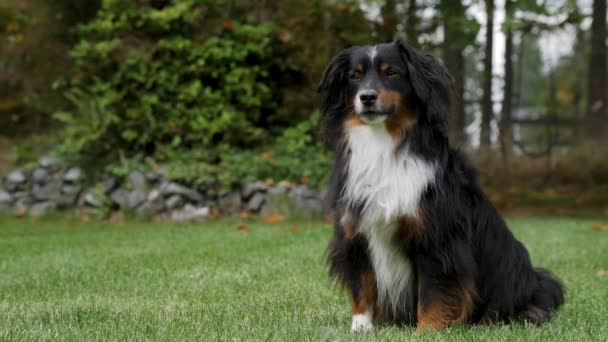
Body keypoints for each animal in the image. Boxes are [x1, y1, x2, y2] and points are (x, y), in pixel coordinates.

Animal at [320, 39, 564, 332]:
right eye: (354, 76)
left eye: (392, 73)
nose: (367, 97)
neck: (384, 145)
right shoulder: (355, 233)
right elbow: (362, 287)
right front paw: (360, 328)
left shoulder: (436, 238)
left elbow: (432, 291)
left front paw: (428, 330)